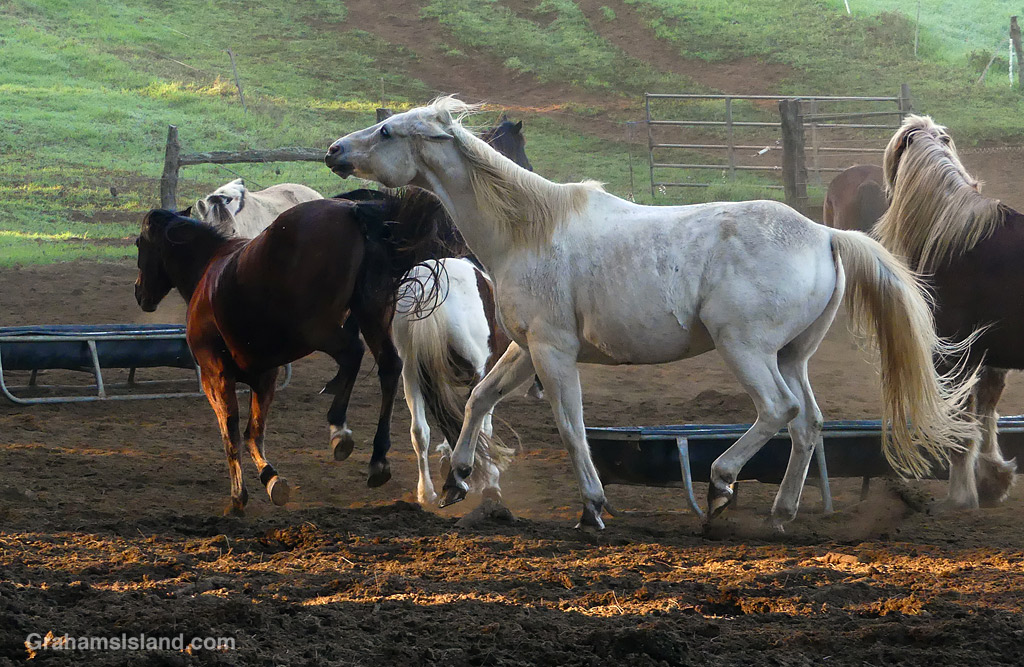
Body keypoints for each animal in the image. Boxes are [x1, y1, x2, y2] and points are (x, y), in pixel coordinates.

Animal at [134, 193, 446, 515]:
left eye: (139, 244)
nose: (139, 292)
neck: (209, 270)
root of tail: (353, 213)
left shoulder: (216, 375)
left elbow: (231, 432)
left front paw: (238, 496)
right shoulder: (264, 377)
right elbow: (253, 433)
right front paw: (270, 479)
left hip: (318, 328)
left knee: (353, 354)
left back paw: (339, 427)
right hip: (371, 313)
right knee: (388, 367)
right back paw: (377, 458)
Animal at [392, 257, 515, 504]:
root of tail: (432, 287)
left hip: (411, 374)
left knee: (419, 431)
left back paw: (427, 492)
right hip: (477, 370)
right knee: (473, 422)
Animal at [874, 115, 1019, 509]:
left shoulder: (953, 358)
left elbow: (962, 423)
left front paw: (961, 497)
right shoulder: (989, 358)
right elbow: (986, 415)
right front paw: (993, 481)